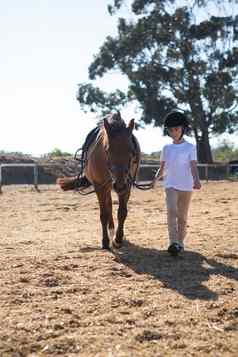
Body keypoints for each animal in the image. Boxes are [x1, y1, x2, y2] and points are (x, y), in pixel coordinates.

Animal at [57, 112, 140, 249]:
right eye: (107, 150)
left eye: (131, 151)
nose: (119, 185)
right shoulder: (100, 186)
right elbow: (103, 214)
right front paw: (105, 241)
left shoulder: (127, 185)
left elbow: (122, 212)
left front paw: (118, 239)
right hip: (106, 187)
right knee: (108, 206)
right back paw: (110, 232)